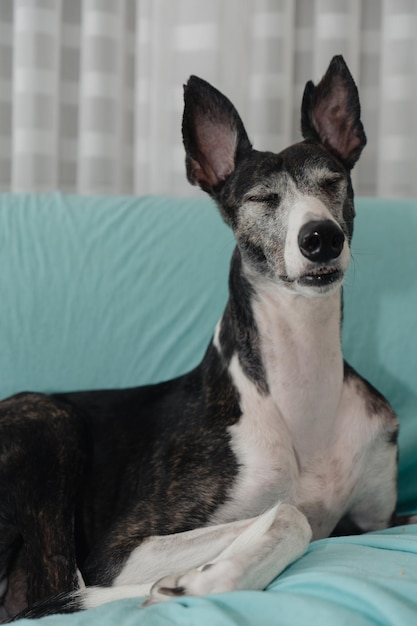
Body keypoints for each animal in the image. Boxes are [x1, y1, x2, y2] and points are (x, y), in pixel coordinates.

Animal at [0, 54, 402, 620]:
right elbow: (290, 513)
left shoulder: (378, 520)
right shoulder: (123, 549)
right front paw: (213, 577)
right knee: (47, 592)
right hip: (46, 417)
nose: (321, 239)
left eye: (333, 181)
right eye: (261, 197)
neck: (300, 384)